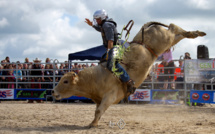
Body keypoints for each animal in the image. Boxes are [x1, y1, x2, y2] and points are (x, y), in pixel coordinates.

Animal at [51, 21, 205, 127]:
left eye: (65, 81)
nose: (53, 92)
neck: (94, 78)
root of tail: (145, 27)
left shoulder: (110, 96)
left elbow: (99, 111)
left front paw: (92, 125)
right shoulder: (99, 99)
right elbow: (97, 111)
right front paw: (94, 122)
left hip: (165, 38)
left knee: (174, 28)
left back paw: (196, 33)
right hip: (165, 43)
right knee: (176, 32)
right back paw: (195, 33)